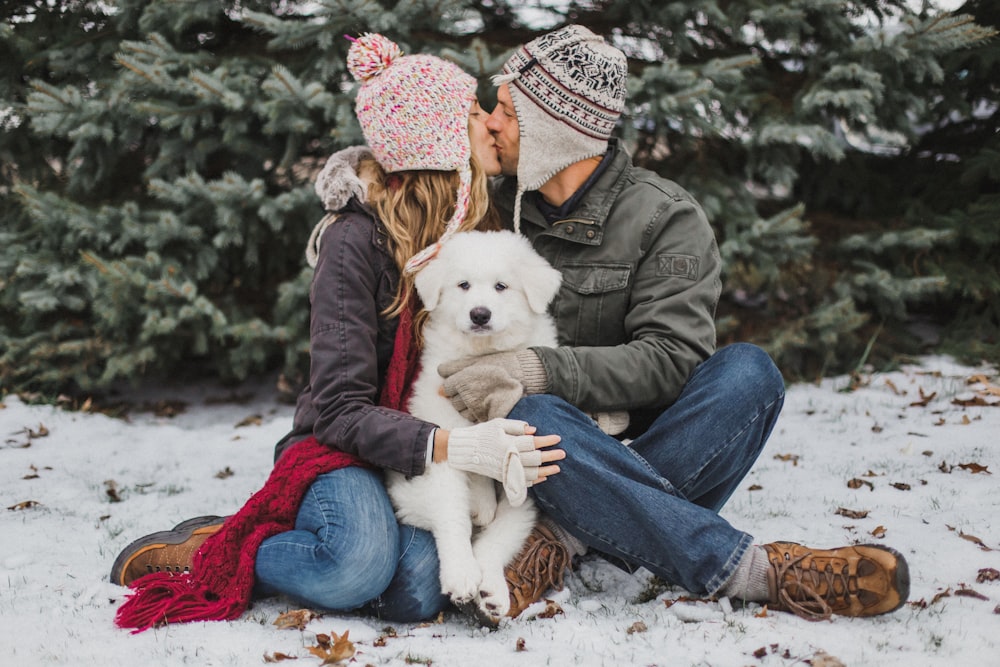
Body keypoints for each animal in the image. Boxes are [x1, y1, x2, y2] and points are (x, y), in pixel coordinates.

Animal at [384, 231, 564, 628]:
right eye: (463, 285)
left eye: (501, 286)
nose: (479, 314)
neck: (481, 355)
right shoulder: (439, 446)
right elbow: (454, 513)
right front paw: (462, 574)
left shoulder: (529, 473)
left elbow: (503, 532)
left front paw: (492, 591)